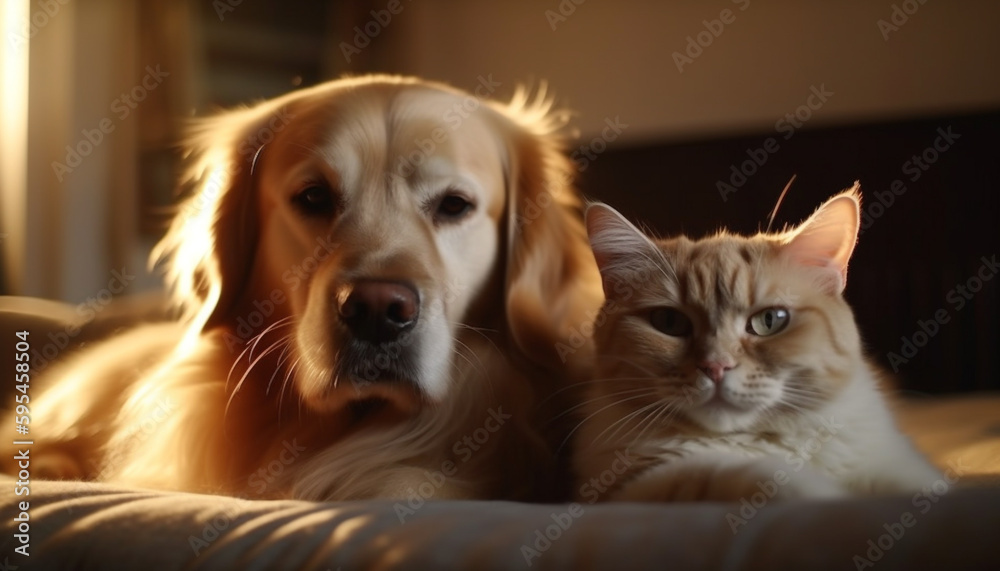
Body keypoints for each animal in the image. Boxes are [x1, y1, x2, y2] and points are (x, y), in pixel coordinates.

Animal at [572, 185, 944, 502]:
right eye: (669, 323)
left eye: (770, 320)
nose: (715, 367)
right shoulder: (634, 486)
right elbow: (740, 474)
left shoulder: (891, 462)